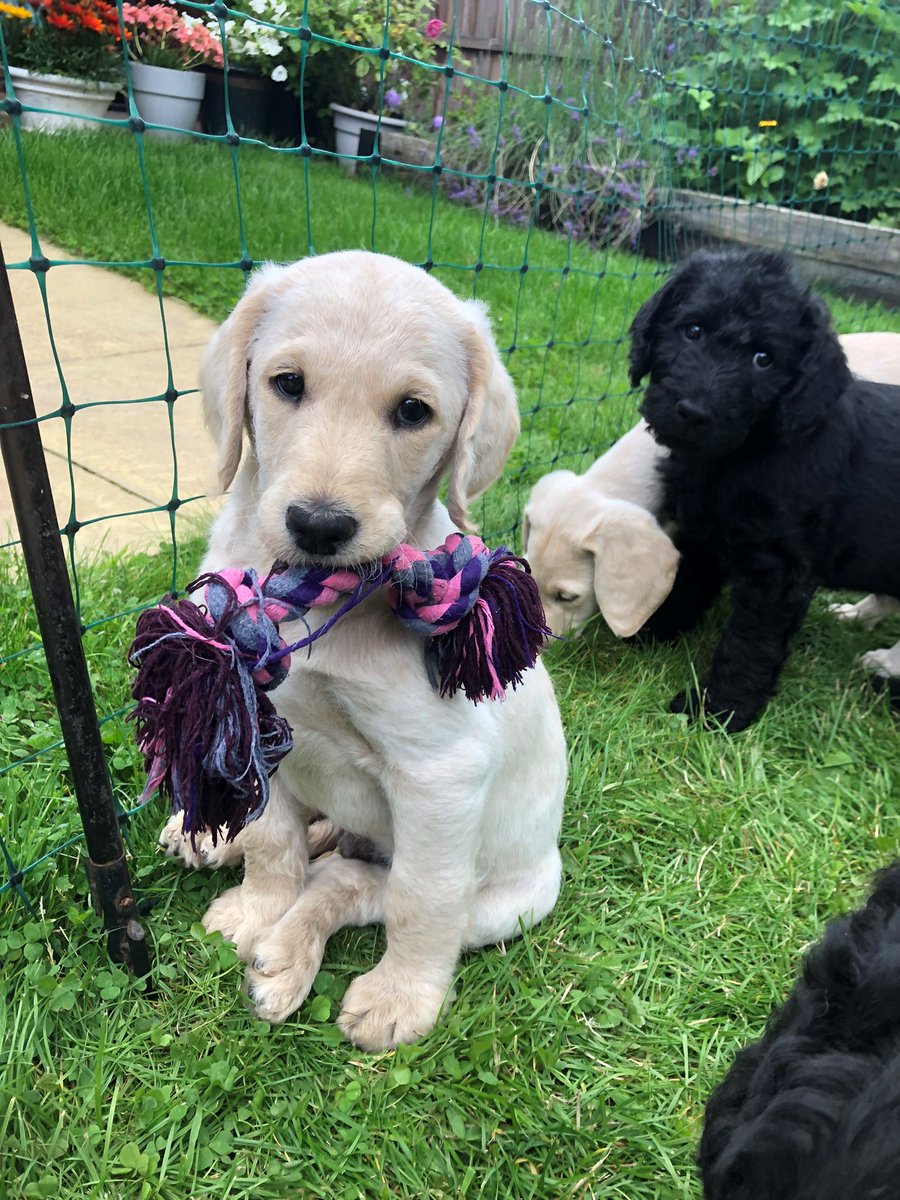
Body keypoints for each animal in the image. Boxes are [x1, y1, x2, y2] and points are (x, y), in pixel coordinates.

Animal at [154, 250, 564, 1051]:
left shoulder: (440, 772)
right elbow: (273, 840)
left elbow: (420, 898)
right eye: (287, 383)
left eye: (413, 411)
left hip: (509, 900)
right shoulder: (260, 720)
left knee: (359, 885)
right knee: (320, 853)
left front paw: (404, 996)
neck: (318, 606)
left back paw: (290, 956)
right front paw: (254, 908)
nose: (318, 525)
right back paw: (211, 843)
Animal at [628, 248, 900, 724]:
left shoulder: (778, 571)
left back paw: (887, 664)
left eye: (763, 359)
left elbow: (750, 643)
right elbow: (686, 585)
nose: (694, 412)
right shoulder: (702, 532)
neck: (741, 454)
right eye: (692, 330)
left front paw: (720, 710)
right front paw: (654, 628)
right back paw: (857, 617)